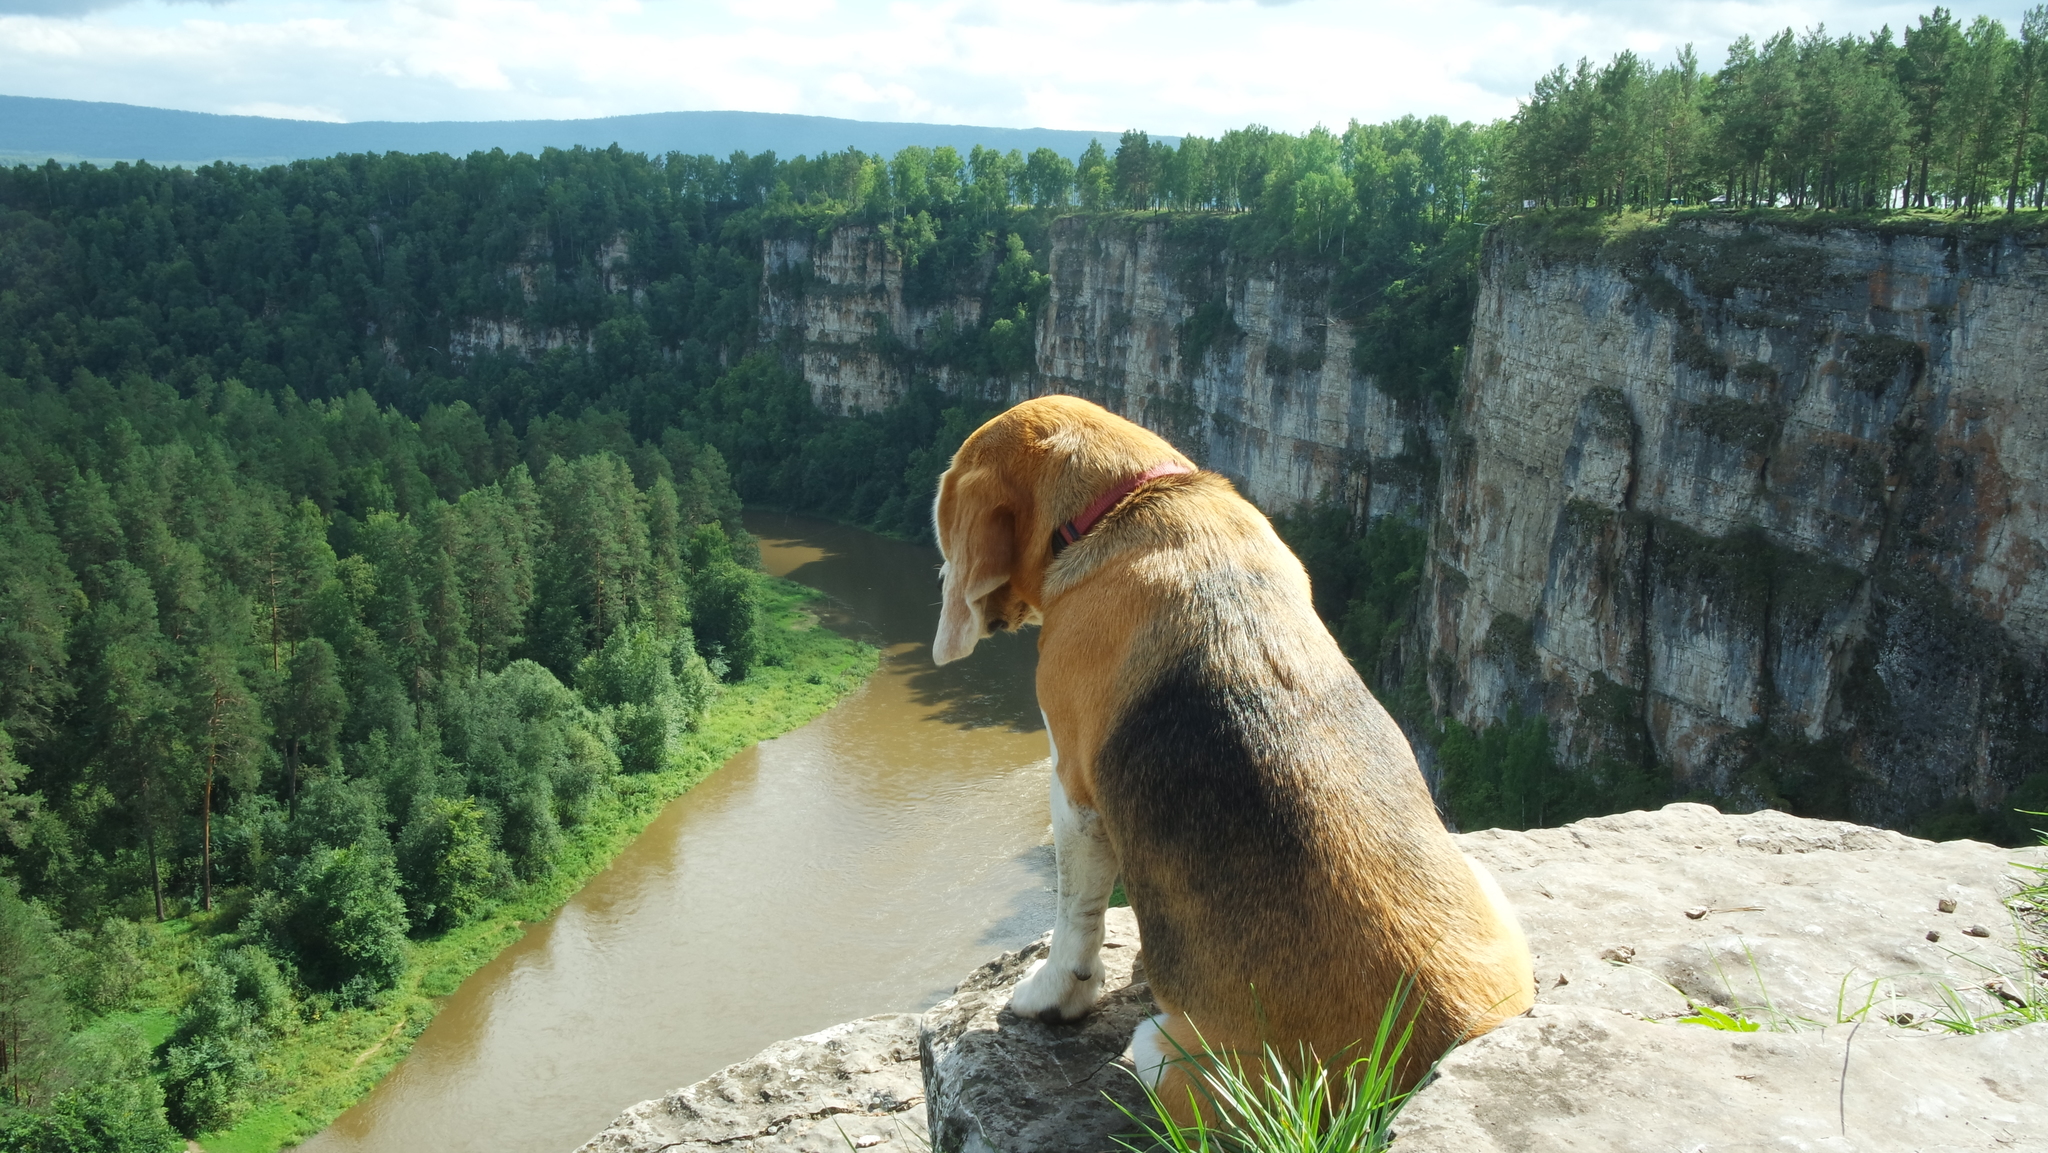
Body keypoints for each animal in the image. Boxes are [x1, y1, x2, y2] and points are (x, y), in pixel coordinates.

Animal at [937, 395, 1531, 1122]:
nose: (944, 578)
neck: (1124, 507)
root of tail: (1442, 1044)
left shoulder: (1072, 785)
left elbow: (1075, 912)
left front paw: (1053, 995)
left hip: (1167, 1054)